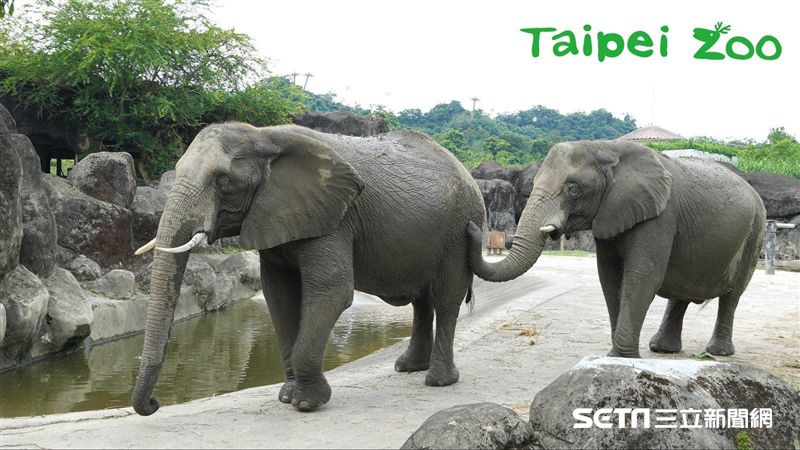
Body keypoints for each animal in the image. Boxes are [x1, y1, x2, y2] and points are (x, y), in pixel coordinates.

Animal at [131, 123, 485, 415]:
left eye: (224, 181)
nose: (154, 403)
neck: (264, 136)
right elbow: (279, 295)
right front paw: (288, 397)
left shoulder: (333, 217)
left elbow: (332, 291)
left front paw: (306, 403)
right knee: (422, 301)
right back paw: (408, 367)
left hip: (459, 231)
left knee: (446, 299)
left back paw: (438, 380)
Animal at [468, 141, 765, 358]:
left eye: (573, 189)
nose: (471, 227)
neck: (607, 148)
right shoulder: (611, 214)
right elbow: (610, 277)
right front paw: (616, 356)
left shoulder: (660, 216)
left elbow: (642, 276)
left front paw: (622, 358)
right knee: (682, 290)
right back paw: (661, 349)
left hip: (756, 231)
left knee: (732, 296)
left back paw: (717, 352)